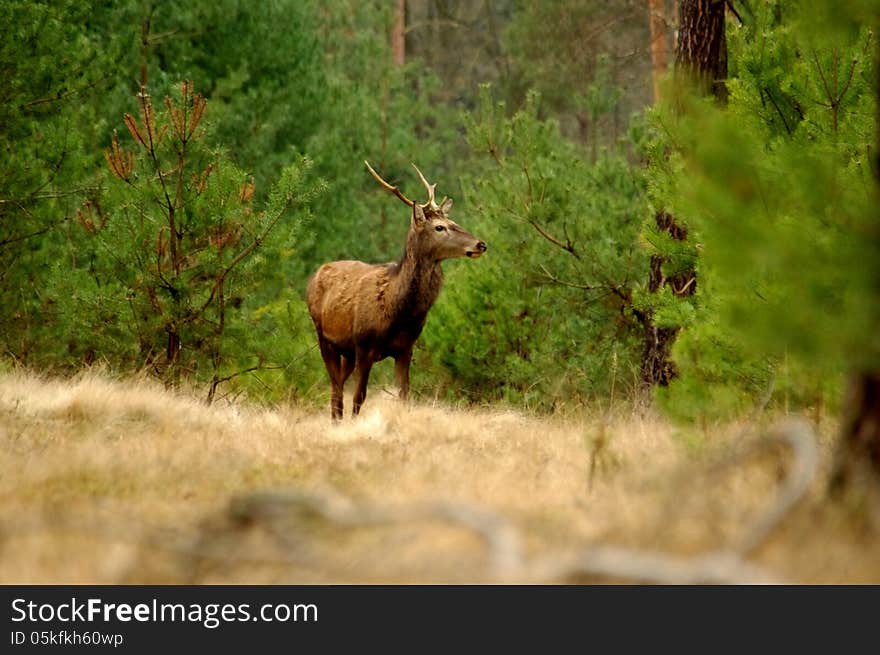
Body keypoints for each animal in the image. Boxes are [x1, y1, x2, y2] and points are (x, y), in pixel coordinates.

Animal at [306, 161, 488, 422]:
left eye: (453, 222)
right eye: (440, 227)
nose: (481, 244)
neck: (398, 312)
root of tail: (314, 276)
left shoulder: (405, 348)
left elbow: (404, 396)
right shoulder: (364, 346)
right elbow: (359, 397)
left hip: (346, 352)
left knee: (337, 386)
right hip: (324, 338)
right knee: (336, 389)